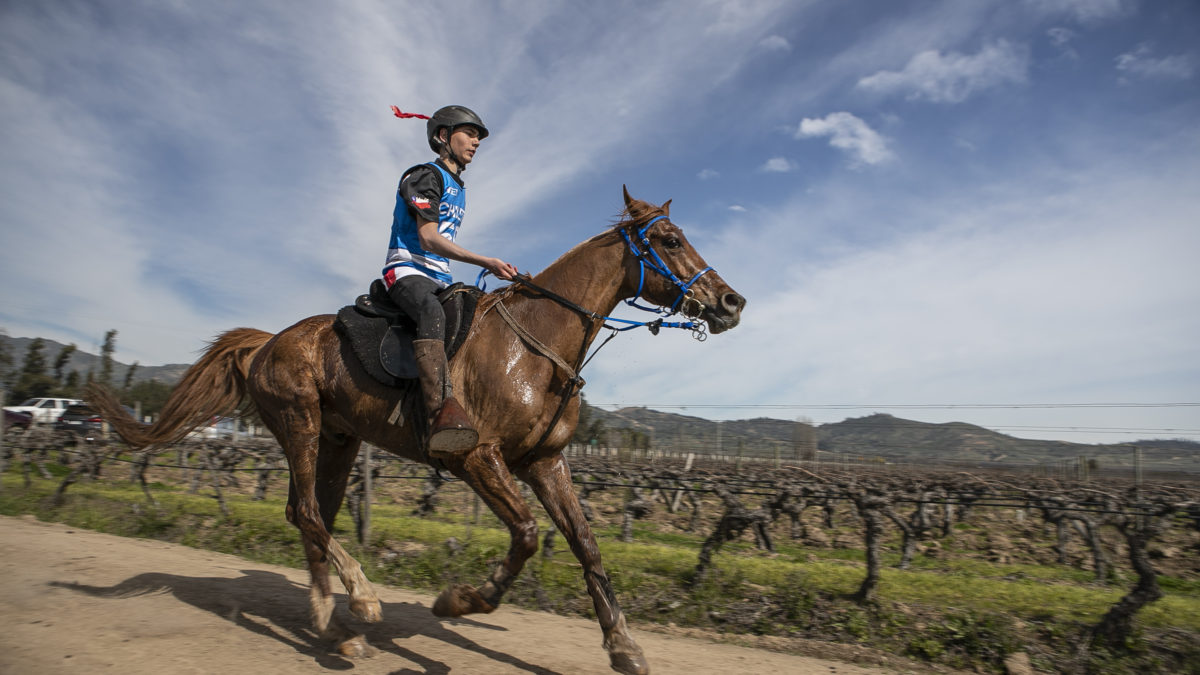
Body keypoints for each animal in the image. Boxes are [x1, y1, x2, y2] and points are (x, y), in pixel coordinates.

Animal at [88, 187, 739, 672]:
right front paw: (460, 600)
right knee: (305, 511)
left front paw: (623, 646)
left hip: (339, 439)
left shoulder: (545, 461)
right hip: (298, 423)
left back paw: (335, 628)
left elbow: (585, 543)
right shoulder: (475, 459)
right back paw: (359, 601)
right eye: (669, 240)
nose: (733, 301)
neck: (536, 342)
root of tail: (267, 342)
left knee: (313, 516)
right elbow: (528, 534)